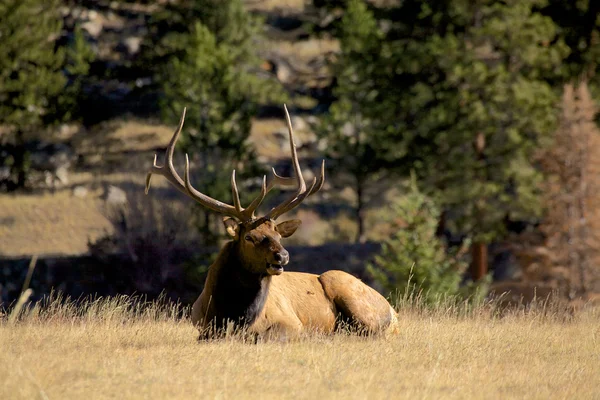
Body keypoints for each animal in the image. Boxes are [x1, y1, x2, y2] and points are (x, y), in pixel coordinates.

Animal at [145, 104, 398, 340]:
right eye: (249, 237)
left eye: (278, 235)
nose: (282, 256)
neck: (231, 314)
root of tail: (393, 311)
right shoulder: (202, 328)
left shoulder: (292, 323)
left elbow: (264, 337)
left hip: (347, 289)